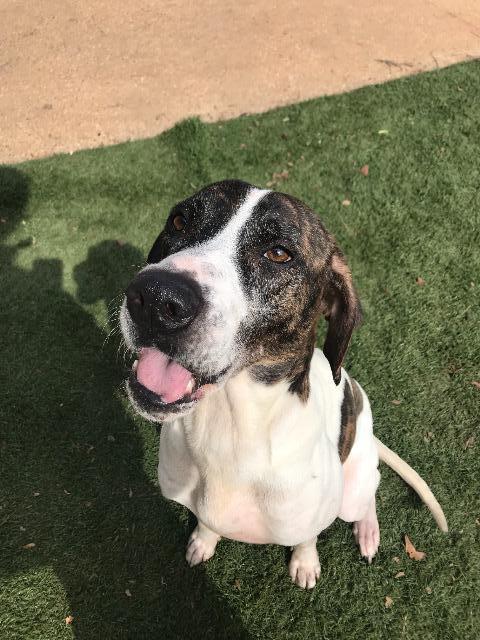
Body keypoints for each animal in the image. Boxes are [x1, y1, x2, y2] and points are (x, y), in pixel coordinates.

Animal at [119, 180, 446, 592]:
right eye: (179, 221)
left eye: (278, 253)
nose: (156, 298)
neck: (231, 429)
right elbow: (207, 523)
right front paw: (203, 541)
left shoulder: (308, 517)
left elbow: (306, 538)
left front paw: (305, 563)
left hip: (354, 488)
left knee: (369, 491)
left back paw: (368, 531)